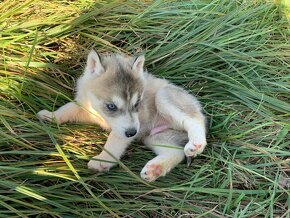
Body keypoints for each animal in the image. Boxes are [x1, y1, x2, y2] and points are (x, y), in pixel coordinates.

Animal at [38, 49, 206, 182]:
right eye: (111, 106)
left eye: (137, 104)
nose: (132, 133)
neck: (100, 114)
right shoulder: (85, 107)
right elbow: (67, 109)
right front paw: (50, 115)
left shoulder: (125, 129)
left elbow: (113, 142)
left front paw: (102, 160)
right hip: (155, 137)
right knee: (176, 152)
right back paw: (154, 169)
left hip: (164, 96)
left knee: (196, 119)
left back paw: (196, 144)